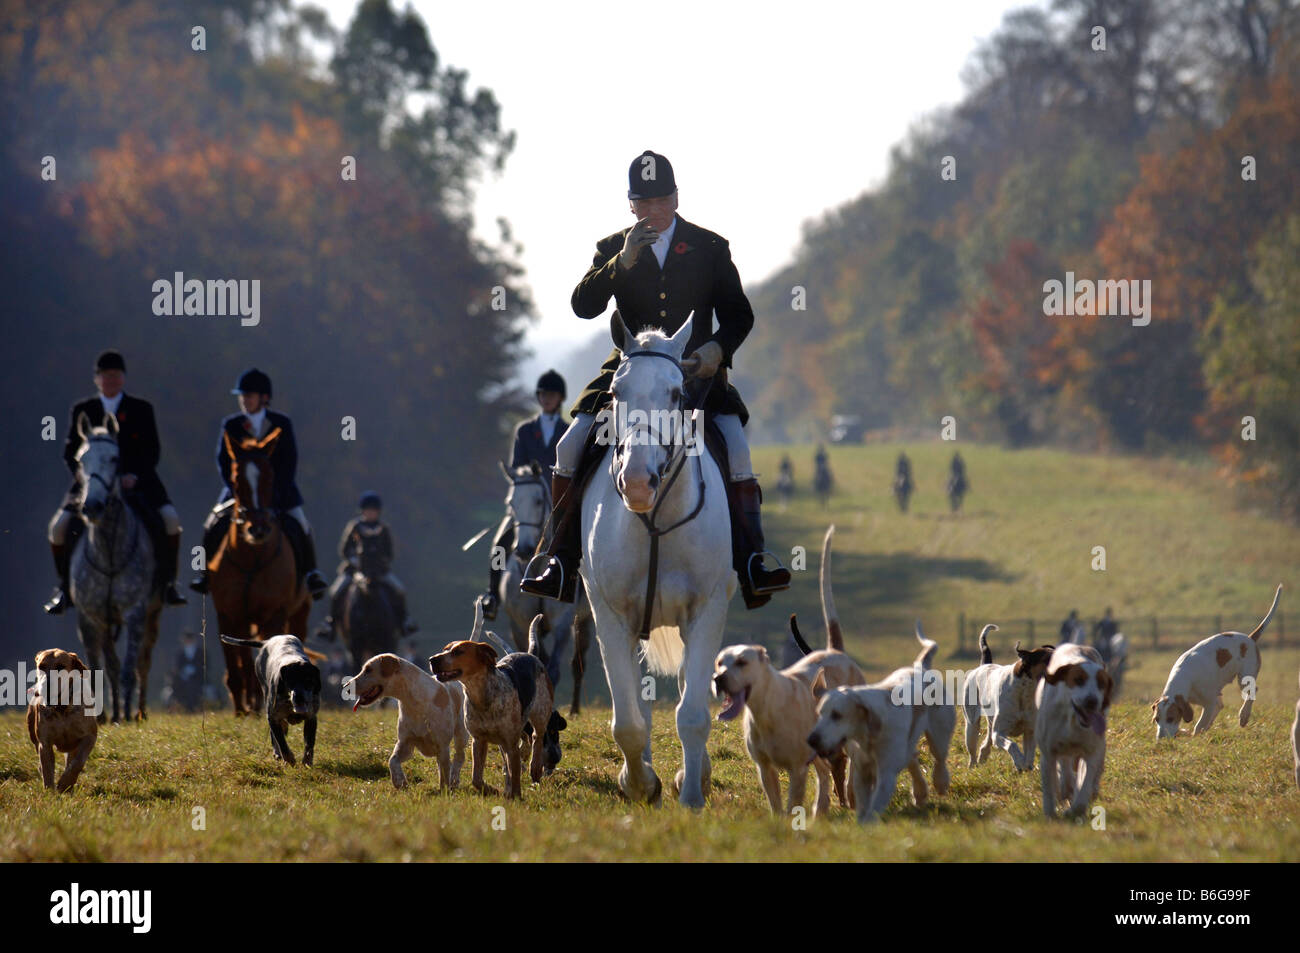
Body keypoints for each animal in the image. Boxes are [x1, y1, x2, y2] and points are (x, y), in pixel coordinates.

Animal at [68, 413, 162, 717]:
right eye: (80, 459)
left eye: (114, 458)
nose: (92, 506)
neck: (109, 551)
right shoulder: (89, 617)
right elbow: (96, 669)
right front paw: (99, 715)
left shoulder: (135, 612)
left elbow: (129, 668)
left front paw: (128, 716)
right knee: (110, 664)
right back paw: (116, 711)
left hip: (151, 615)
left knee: (142, 663)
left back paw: (136, 711)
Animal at [214, 426, 315, 712]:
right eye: (236, 479)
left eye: (270, 477)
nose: (257, 529)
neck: (252, 558)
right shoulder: (228, 614)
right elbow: (238, 665)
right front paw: (241, 709)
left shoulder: (273, 613)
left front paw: (257, 704)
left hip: (300, 611)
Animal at [585, 315, 738, 806]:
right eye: (616, 391)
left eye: (676, 393)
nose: (637, 481)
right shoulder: (612, 616)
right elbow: (629, 722)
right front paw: (638, 783)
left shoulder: (707, 610)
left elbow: (692, 714)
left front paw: (690, 794)